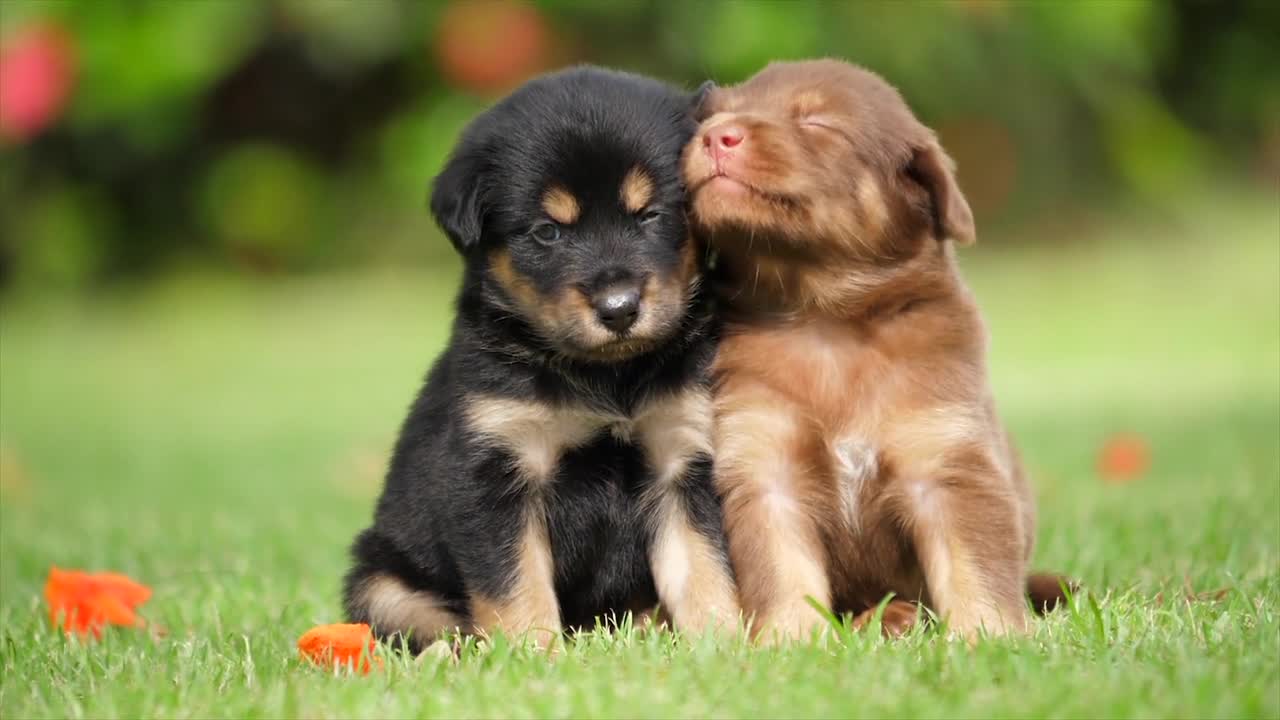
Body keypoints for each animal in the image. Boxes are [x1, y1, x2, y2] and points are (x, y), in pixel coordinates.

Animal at [343, 67, 742, 650]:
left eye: (651, 215)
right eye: (547, 231)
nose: (619, 308)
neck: (606, 376)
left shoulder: (683, 457)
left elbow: (705, 567)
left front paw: (723, 644)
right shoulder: (495, 470)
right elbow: (516, 584)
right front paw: (532, 653)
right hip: (381, 581)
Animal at [686, 58, 1064, 635]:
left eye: (817, 122)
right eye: (714, 114)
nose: (714, 136)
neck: (823, 317)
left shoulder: (946, 459)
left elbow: (975, 567)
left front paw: (987, 636)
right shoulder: (765, 466)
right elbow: (783, 569)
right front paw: (791, 639)